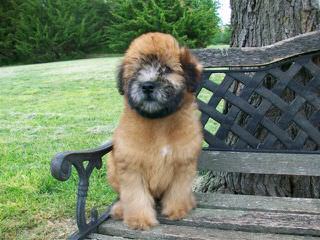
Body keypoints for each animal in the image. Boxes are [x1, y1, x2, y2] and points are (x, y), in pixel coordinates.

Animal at [107, 32, 202, 231]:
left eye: (166, 69)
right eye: (137, 71)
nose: (147, 86)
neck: (159, 123)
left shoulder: (183, 164)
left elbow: (178, 191)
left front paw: (177, 210)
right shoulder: (131, 166)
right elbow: (135, 196)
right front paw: (139, 220)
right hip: (111, 167)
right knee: (122, 197)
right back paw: (119, 209)